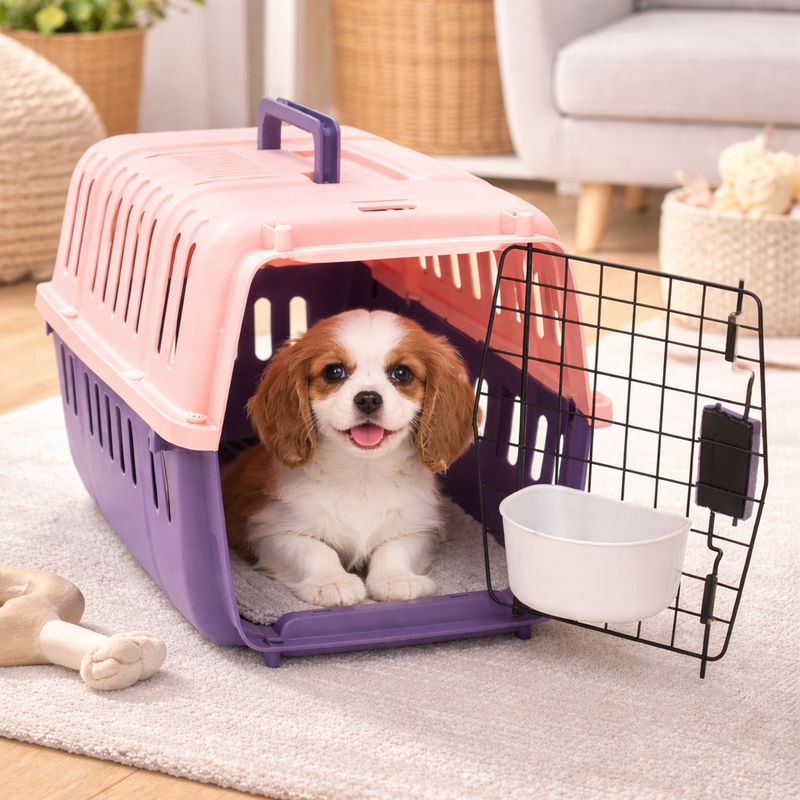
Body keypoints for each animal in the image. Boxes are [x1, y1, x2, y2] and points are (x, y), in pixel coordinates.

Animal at [221, 309, 477, 608]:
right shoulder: (271, 530)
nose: (368, 398)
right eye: (334, 372)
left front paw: (396, 580)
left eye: (402, 373)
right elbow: (315, 550)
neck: (362, 475)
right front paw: (332, 581)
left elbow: (393, 549)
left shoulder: (417, 527)